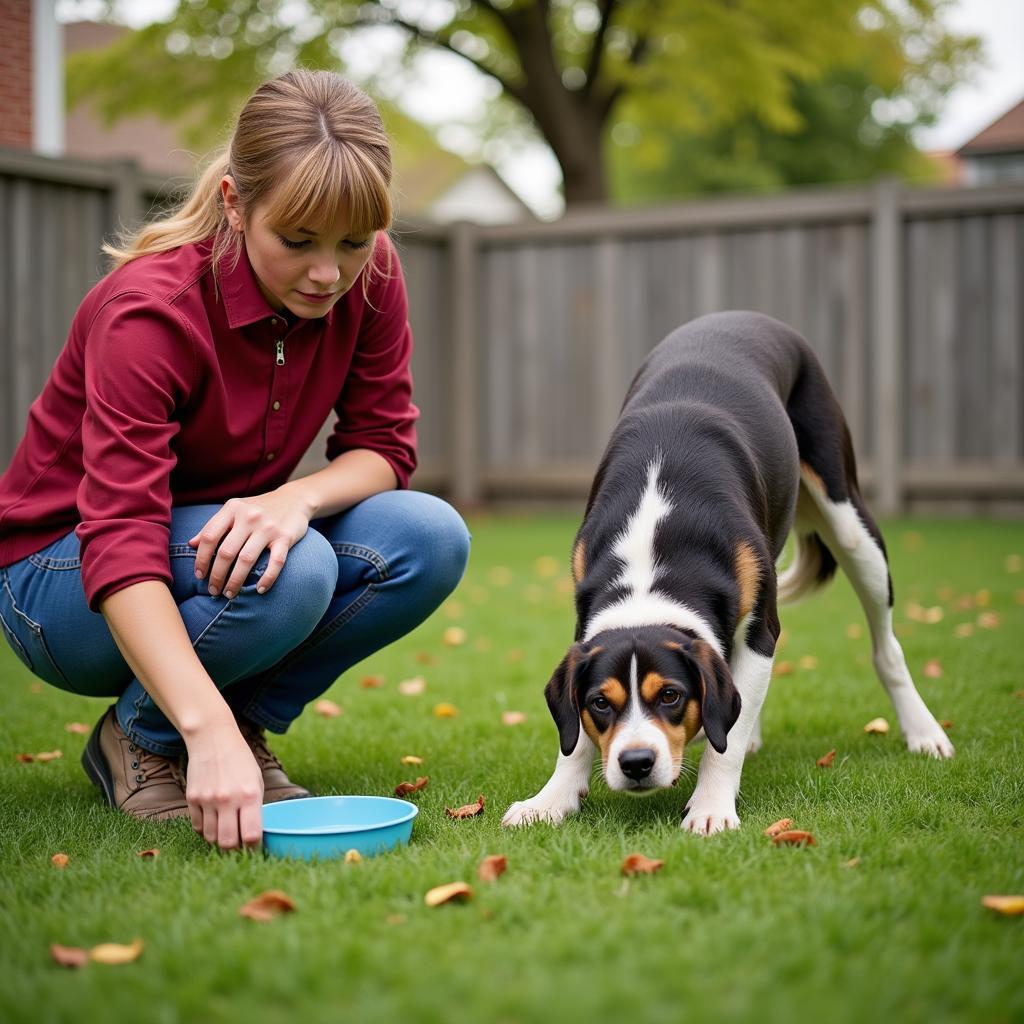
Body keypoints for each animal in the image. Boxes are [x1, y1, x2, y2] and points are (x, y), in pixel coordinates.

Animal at [499, 313, 954, 839]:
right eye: (599, 703)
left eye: (670, 696)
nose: (635, 762)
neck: (654, 553)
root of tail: (747, 317)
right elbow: (573, 740)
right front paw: (552, 798)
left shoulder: (759, 631)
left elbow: (727, 741)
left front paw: (712, 806)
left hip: (852, 525)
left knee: (886, 649)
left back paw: (924, 732)